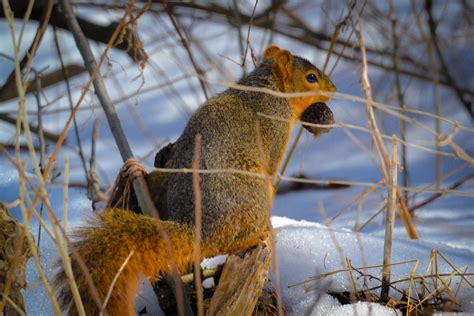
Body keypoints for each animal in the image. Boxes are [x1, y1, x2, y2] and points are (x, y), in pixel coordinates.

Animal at [53, 45, 336, 314]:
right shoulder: (273, 130)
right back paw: (257, 235)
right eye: (311, 77)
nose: (333, 89)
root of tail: (197, 229)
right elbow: (272, 166)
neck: (269, 88)